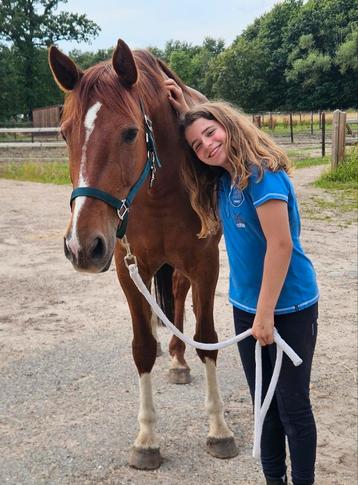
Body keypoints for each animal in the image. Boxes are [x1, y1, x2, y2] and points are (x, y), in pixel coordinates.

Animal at [48, 37, 238, 468]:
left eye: (130, 133)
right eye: (65, 134)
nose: (81, 246)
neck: (158, 191)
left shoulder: (206, 265)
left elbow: (207, 336)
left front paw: (218, 430)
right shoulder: (127, 267)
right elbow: (142, 346)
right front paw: (147, 438)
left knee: (180, 300)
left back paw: (180, 360)